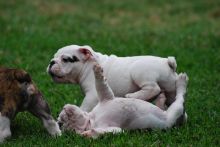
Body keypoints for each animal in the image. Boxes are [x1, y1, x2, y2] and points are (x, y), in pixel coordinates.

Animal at [47, 44, 179, 111]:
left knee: (153, 88)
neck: (88, 65)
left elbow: (85, 107)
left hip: (138, 71)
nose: (51, 62)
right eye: (54, 57)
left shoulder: (92, 95)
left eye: (65, 59)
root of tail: (167, 63)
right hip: (171, 90)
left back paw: (133, 96)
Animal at [57, 63, 188, 138]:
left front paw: (97, 70)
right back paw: (180, 83)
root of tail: (181, 121)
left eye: (60, 121)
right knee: (180, 98)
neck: (92, 119)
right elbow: (113, 131)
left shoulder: (106, 97)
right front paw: (88, 134)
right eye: (61, 125)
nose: (59, 121)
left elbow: (101, 85)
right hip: (174, 113)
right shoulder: (113, 128)